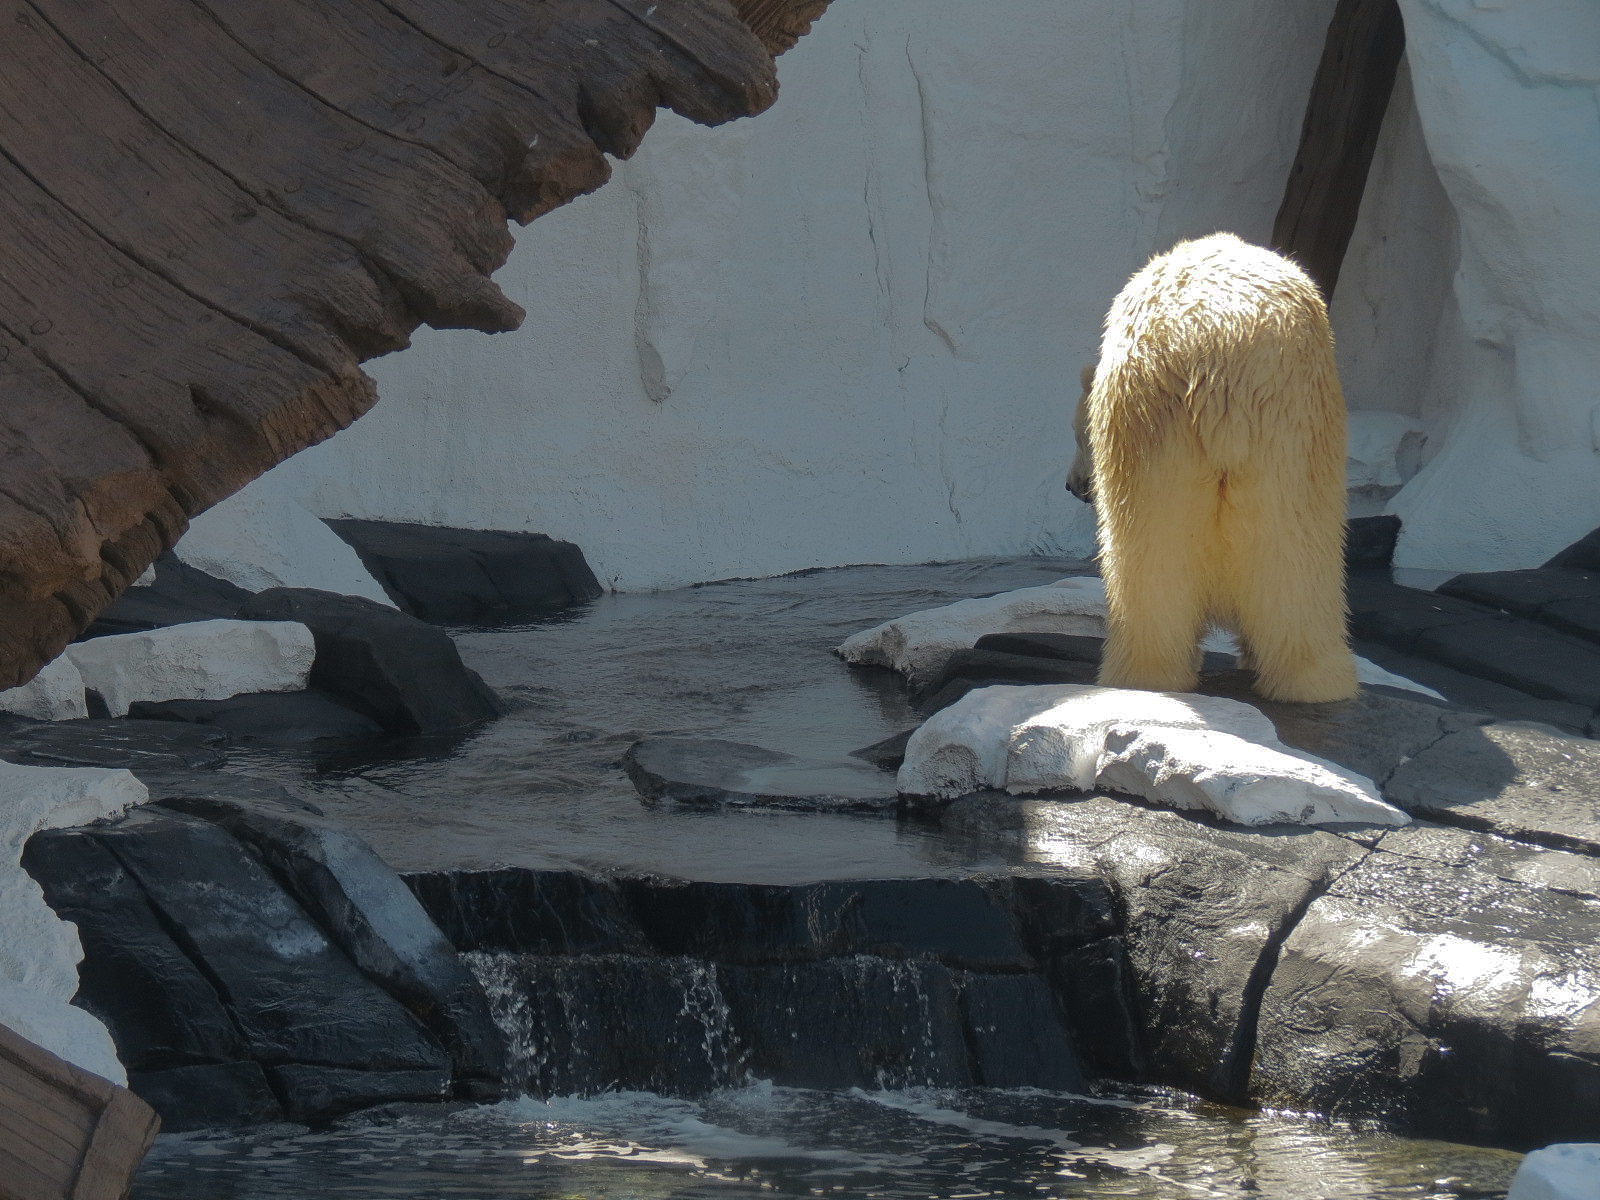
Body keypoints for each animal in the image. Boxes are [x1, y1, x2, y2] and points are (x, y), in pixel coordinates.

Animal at [1066, 232, 1357, 704]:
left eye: (1079, 435)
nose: (1074, 486)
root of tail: (1216, 342)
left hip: (1156, 420)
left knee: (1150, 553)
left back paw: (1144, 674)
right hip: (1288, 426)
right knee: (1294, 548)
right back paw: (1315, 680)